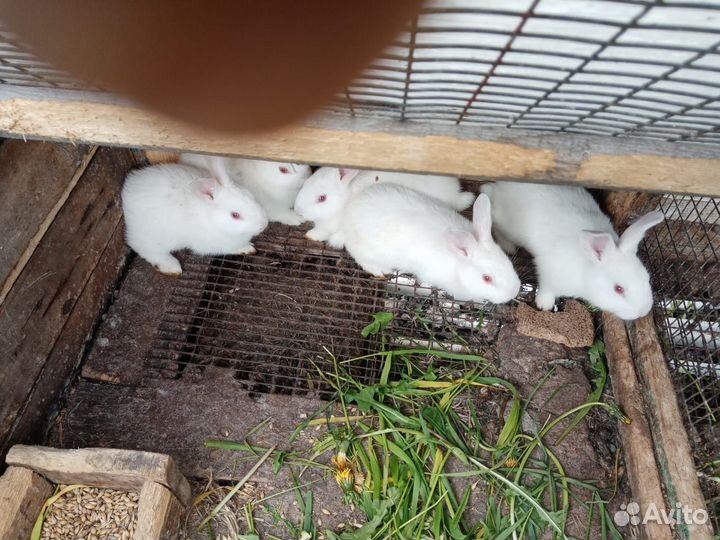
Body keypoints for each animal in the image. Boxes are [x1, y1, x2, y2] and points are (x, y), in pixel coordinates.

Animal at [122, 156, 269, 276]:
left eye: (251, 196)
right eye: (235, 215)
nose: (263, 225)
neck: (212, 218)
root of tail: (127, 192)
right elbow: (232, 248)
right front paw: (247, 248)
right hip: (152, 238)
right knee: (145, 249)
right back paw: (171, 267)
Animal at [179, 153, 312, 225]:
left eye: (299, 162)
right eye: (283, 170)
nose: (308, 175)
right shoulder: (272, 207)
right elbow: (281, 214)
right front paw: (297, 219)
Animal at [341, 183, 521, 304]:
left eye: (510, 264)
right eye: (487, 278)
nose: (514, 292)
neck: (458, 266)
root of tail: (350, 210)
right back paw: (381, 270)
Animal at [480, 181, 664, 321]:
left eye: (647, 278)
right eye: (618, 289)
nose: (642, 312)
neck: (586, 269)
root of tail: (499, 186)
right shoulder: (549, 271)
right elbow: (547, 287)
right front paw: (544, 304)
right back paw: (508, 246)